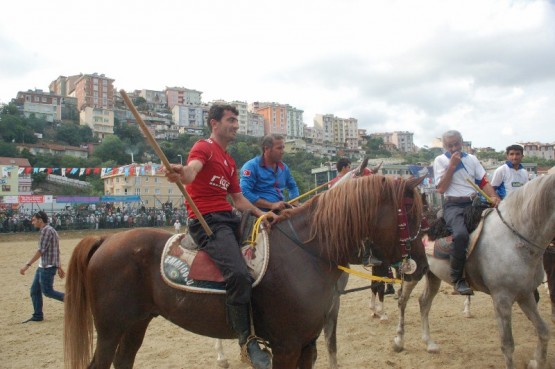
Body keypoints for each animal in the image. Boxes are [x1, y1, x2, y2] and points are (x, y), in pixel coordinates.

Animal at [63, 175, 424, 368]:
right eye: (411, 212)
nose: (419, 264)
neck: (308, 253)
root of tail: (106, 239)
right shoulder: (286, 346)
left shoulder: (307, 343)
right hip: (110, 328)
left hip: (136, 322)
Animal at [396, 174, 555, 368]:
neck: (514, 237)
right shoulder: (502, 298)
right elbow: (507, 345)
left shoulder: (525, 294)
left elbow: (544, 331)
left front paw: (536, 361)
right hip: (413, 273)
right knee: (402, 301)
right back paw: (399, 341)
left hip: (432, 275)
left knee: (424, 302)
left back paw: (429, 343)